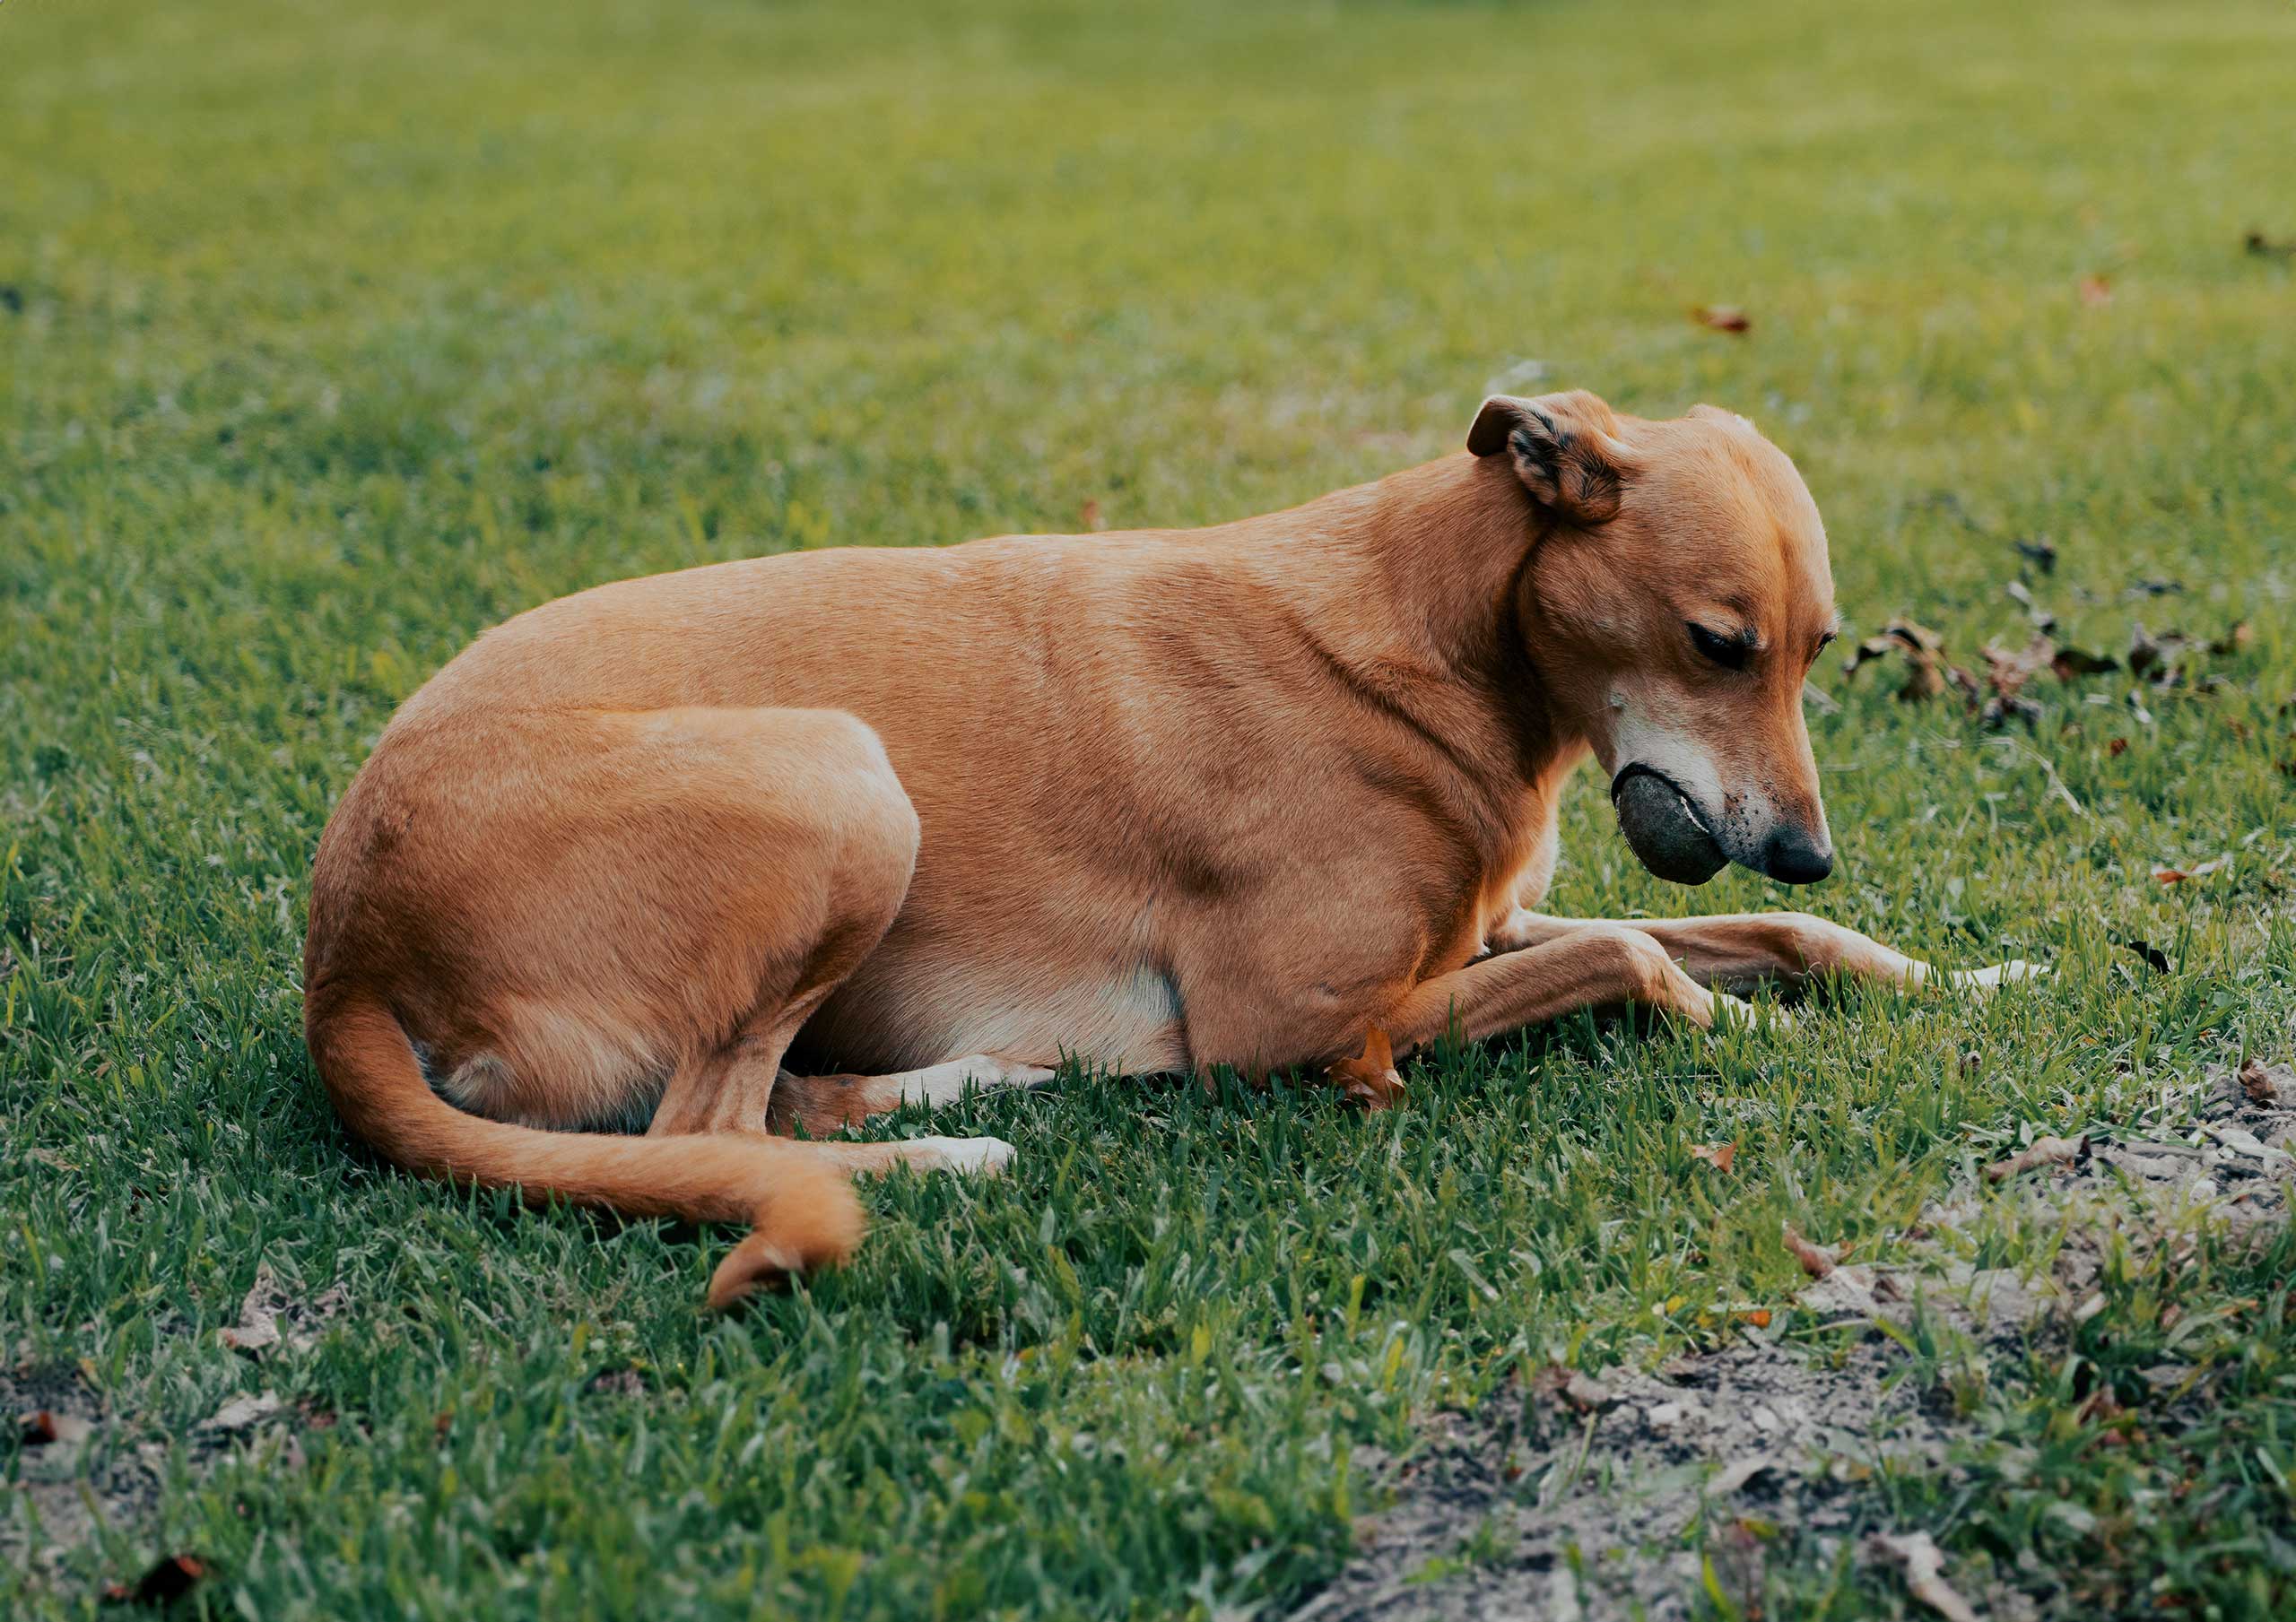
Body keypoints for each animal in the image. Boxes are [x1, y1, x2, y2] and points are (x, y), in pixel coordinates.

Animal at [300, 392, 2030, 1303]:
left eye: (1820, 649)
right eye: (1718, 644)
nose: (1804, 848)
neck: (1434, 635)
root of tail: (342, 957)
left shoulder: (1480, 936)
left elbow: (1764, 942)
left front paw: (1965, 981)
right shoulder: (1297, 1027)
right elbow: (1636, 957)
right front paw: (1756, 1033)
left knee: (774, 1104)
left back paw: (984, 1087)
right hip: (844, 781)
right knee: (704, 1128)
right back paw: (947, 1156)